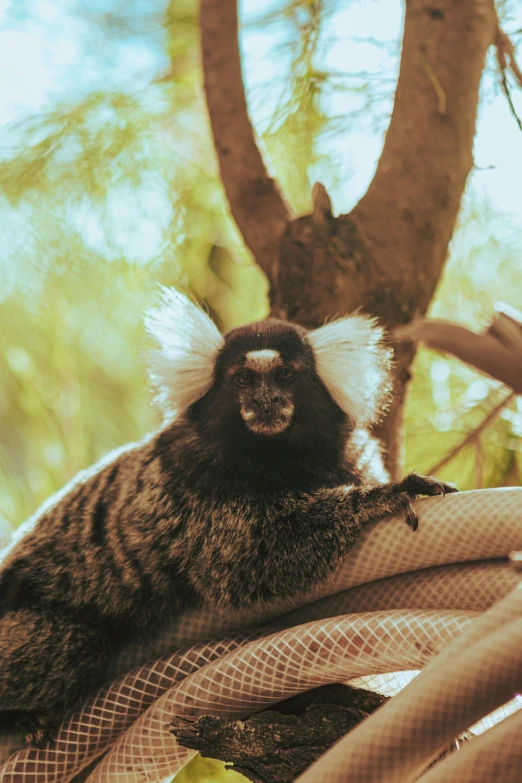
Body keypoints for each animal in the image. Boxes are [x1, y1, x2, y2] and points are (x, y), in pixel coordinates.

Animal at [0, 290, 456, 748]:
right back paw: (21, 716)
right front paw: (385, 497)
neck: (281, 457)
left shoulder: (351, 455)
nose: (266, 400)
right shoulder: (192, 476)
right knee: (73, 641)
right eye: (244, 379)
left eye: (285, 375)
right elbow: (246, 556)